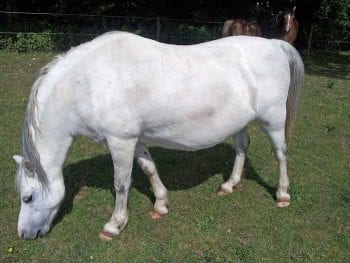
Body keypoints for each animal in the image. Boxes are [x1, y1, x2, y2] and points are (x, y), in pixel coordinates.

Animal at [13, 31, 304, 241]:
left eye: (27, 197)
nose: (24, 234)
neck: (90, 82)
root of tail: (274, 44)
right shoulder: (136, 139)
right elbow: (149, 168)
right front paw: (161, 205)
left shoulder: (120, 142)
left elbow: (121, 183)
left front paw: (114, 225)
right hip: (240, 122)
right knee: (243, 146)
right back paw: (229, 185)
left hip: (272, 119)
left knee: (281, 153)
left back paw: (282, 195)